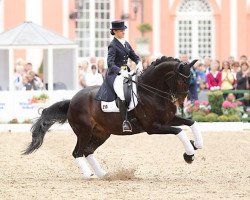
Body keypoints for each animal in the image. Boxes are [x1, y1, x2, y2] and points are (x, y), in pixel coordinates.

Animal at [23, 56, 203, 178]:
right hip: (84, 132)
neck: (151, 92)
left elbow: (191, 122)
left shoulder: (168, 119)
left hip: (101, 134)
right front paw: (189, 154)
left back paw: (103, 174)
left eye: (190, 79)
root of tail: (72, 101)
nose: (181, 101)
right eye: (180, 80)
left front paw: (197, 144)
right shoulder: (153, 127)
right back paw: (89, 175)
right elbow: (179, 131)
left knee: (88, 151)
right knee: (77, 152)